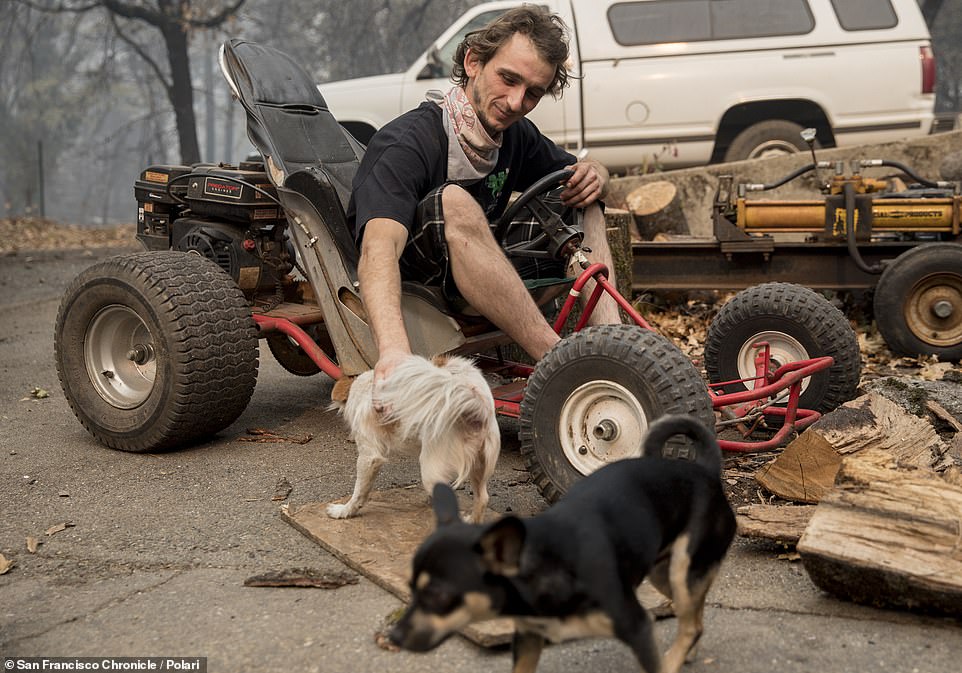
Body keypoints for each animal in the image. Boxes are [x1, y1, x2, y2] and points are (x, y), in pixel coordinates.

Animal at [326, 354, 498, 524]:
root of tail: (477, 407)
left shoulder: (369, 457)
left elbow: (359, 491)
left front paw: (344, 511)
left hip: (431, 472)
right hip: (478, 463)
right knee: (483, 498)